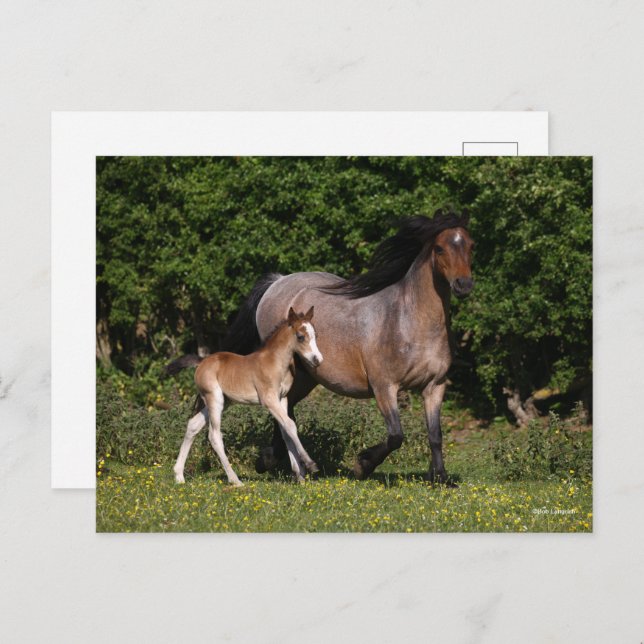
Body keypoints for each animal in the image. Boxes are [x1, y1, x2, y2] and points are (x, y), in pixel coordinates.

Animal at [166, 307, 323, 486]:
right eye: (300, 336)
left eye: (316, 335)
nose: (317, 360)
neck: (275, 362)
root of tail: (201, 362)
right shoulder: (269, 400)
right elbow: (291, 425)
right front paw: (310, 464)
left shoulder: (282, 399)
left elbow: (286, 432)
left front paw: (300, 475)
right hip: (214, 399)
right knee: (214, 435)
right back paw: (235, 480)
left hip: (222, 401)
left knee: (193, 425)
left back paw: (179, 476)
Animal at [221, 210, 474, 483]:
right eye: (439, 248)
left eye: (471, 245)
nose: (463, 285)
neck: (409, 321)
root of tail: (277, 282)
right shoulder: (384, 386)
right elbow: (396, 435)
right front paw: (363, 465)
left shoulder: (435, 385)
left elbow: (435, 435)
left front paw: (441, 478)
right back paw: (272, 462)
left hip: (306, 377)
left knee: (286, 411)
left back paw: (271, 460)